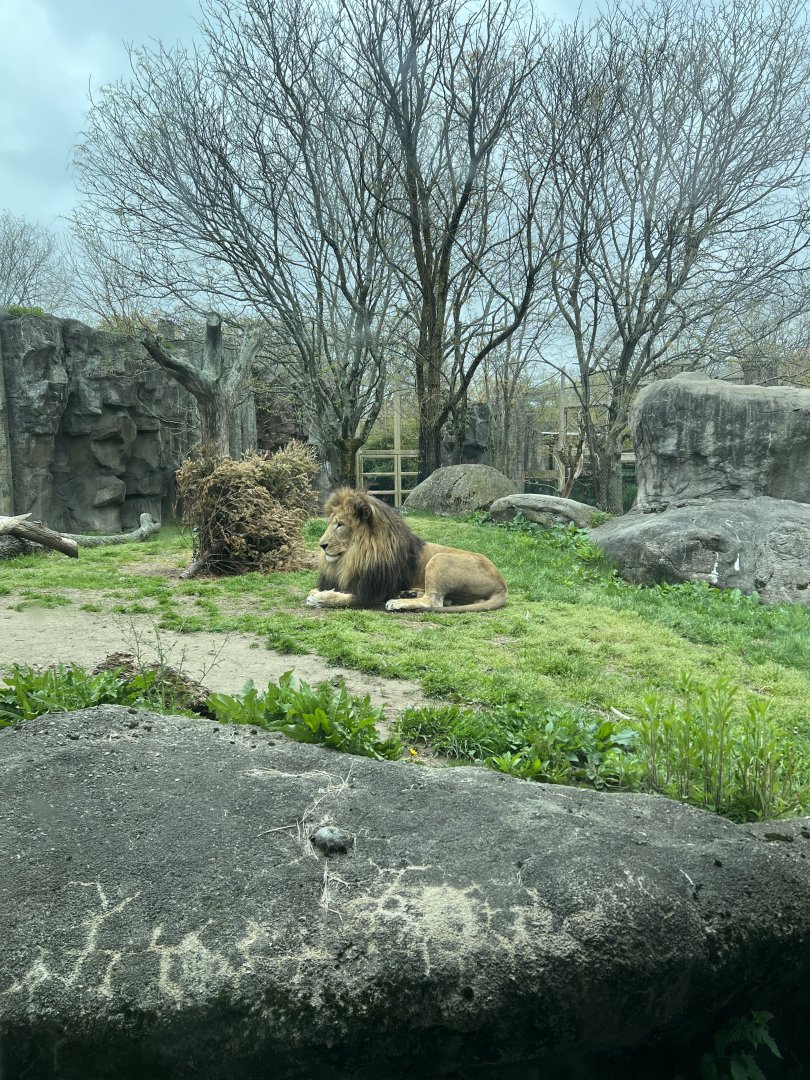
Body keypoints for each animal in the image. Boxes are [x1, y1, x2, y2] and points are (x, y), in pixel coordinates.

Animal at [305, 488, 507, 613]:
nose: (321, 545)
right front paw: (317, 593)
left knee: (433, 601)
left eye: (340, 524)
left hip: (440, 559)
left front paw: (320, 598)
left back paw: (398, 602)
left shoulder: (373, 593)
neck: (354, 557)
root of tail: (502, 585)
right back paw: (408, 593)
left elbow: (346, 599)